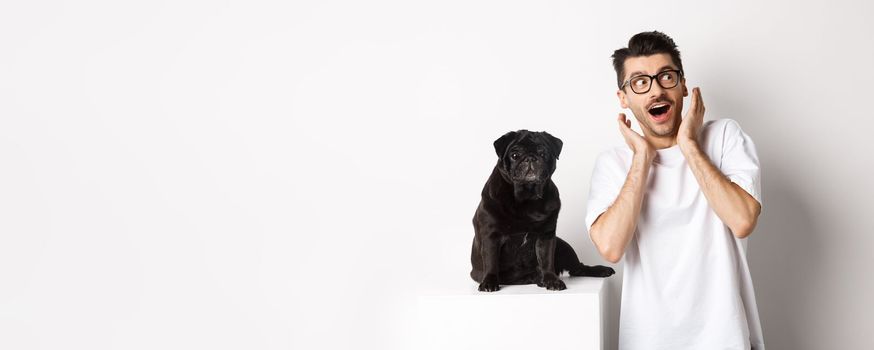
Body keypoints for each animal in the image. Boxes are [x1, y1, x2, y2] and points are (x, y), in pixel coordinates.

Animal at [470, 130, 612, 292]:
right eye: (514, 155)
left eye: (543, 153)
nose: (530, 158)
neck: (527, 197)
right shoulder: (491, 236)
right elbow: (491, 261)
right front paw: (489, 282)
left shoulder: (546, 235)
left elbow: (546, 260)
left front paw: (552, 280)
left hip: (563, 245)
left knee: (578, 268)